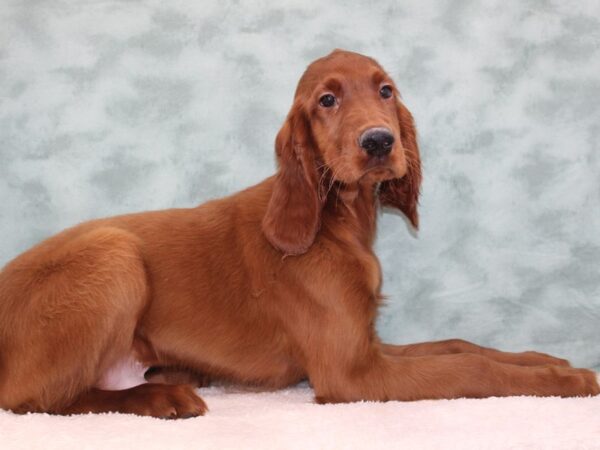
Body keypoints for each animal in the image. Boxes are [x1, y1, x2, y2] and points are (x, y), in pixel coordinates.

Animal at [1, 49, 600, 418]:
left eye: (386, 91)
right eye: (326, 100)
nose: (379, 141)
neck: (337, 222)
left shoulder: (366, 343)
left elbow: (459, 344)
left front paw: (547, 360)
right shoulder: (352, 374)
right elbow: (470, 366)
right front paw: (568, 382)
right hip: (114, 252)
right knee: (33, 398)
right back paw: (165, 398)